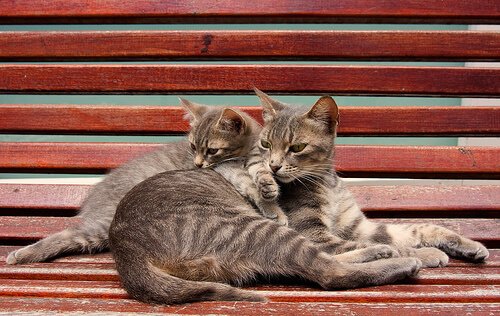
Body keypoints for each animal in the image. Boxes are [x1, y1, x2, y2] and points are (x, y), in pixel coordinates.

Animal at [5, 98, 284, 264]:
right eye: (193, 146)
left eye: (211, 149)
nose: (197, 164)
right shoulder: (226, 169)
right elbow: (247, 182)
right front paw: (271, 207)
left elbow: (260, 174)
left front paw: (268, 192)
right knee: (69, 233)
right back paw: (21, 254)